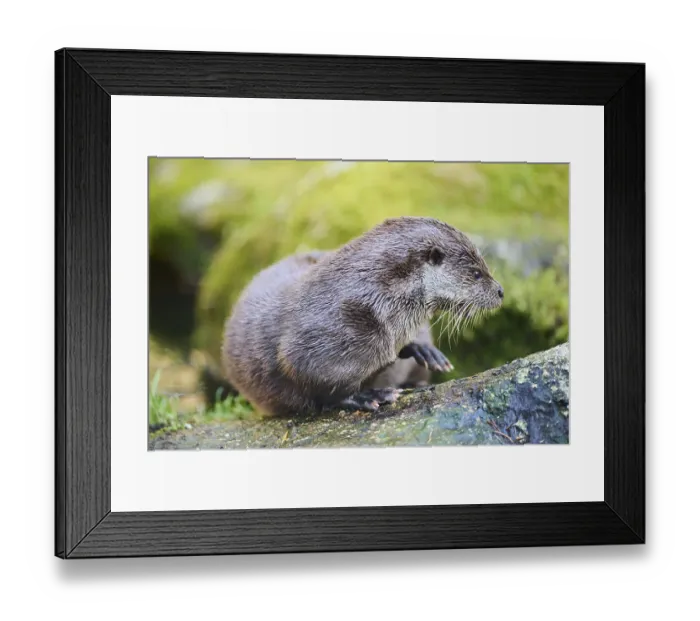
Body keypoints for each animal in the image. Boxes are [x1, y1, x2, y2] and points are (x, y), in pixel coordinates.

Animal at [222, 216, 504, 417]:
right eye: (477, 273)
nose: (501, 291)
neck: (378, 297)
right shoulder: (318, 340)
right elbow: (316, 380)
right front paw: (369, 396)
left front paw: (420, 349)